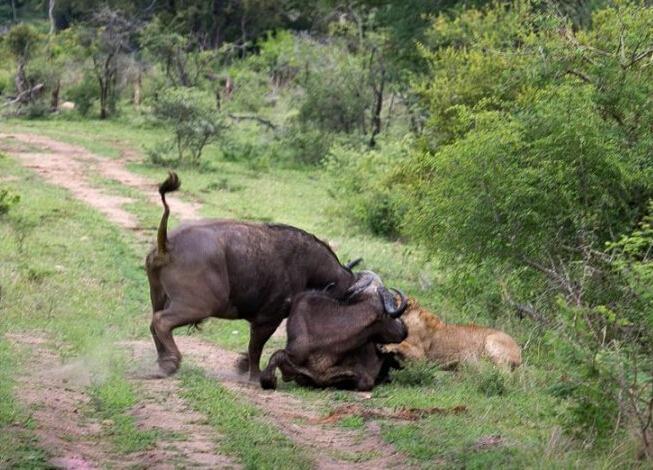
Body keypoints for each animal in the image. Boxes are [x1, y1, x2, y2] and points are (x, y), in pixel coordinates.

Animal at [146, 173, 362, 378]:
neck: (308, 266)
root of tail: (168, 244)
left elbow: (253, 347)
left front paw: (243, 365)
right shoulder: (268, 319)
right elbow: (256, 347)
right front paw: (256, 376)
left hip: (159, 296)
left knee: (153, 323)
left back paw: (162, 362)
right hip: (200, 305)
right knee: (161, 321)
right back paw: (171, 362)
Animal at [382, 298, 520, 370]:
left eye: (394, 300)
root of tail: (519, 350)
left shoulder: (421, 356)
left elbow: (401, 343)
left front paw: (385, 346)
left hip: (491, 340)